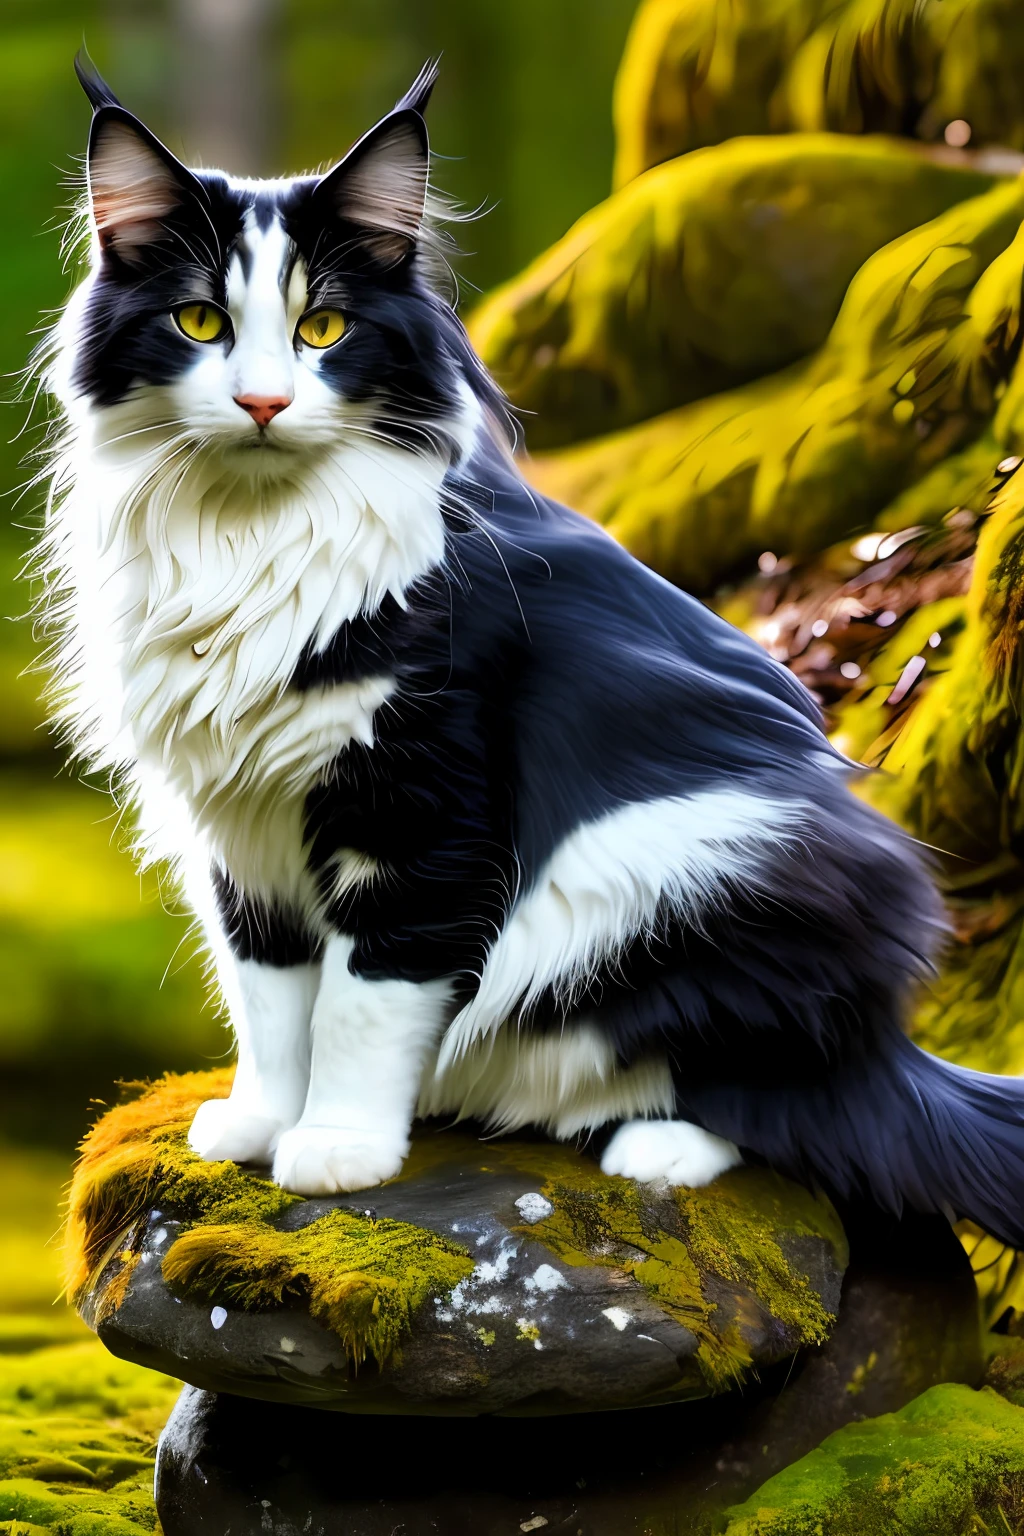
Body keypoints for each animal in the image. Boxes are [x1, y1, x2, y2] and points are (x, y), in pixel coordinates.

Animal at [36, 51, 1024, 1247]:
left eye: (323, 330)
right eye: (197, 322)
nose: (264, 402)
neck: (251, 542)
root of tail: (892, 1046)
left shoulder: (422, 817)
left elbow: (363, 1001)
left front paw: (337, 1150)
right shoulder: (243, 835)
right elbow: (269, 998)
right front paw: (263, 1124)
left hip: (689, 874)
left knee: (780, 1107)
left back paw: (652, 1147)